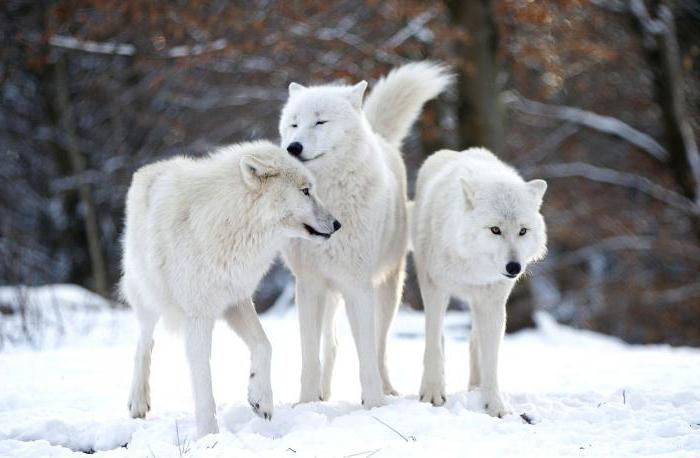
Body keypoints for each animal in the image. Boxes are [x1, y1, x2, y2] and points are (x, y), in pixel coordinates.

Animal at [120, 141, 340, 438]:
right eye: (305, 191)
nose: (338, 224)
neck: (232, 221)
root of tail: (147, 169)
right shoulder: (198, 316)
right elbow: (203, 381)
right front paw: (208, 435)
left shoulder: (236, 300)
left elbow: (264, 345)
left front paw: (261, 399)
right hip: (148, 298)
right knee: (144, 343)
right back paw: (138, 402)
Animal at [278, 61, 454, 408]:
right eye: (293, 124)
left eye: (320, 121)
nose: (293, 148)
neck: (329, 201)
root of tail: (378, 135)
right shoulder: (309, 286)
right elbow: (309, 356)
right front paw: (306, 404)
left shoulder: (357, 285)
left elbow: (367, 355)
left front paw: (373, 404)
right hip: (331, 294)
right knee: (331, 344)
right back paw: (323, 394)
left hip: (387, 290)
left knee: (380, 344)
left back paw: (386, 389)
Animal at [416, 148, 548, 418]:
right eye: (495, 229)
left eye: (523, 231)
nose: (514, 267)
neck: (473, 268)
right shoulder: (434, 288)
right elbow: (433, 344)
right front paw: (432, 393)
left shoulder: (492, 302)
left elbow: (491, 360)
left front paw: (494, 405)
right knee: (440, 338)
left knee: (474, 342)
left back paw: (475, 388)